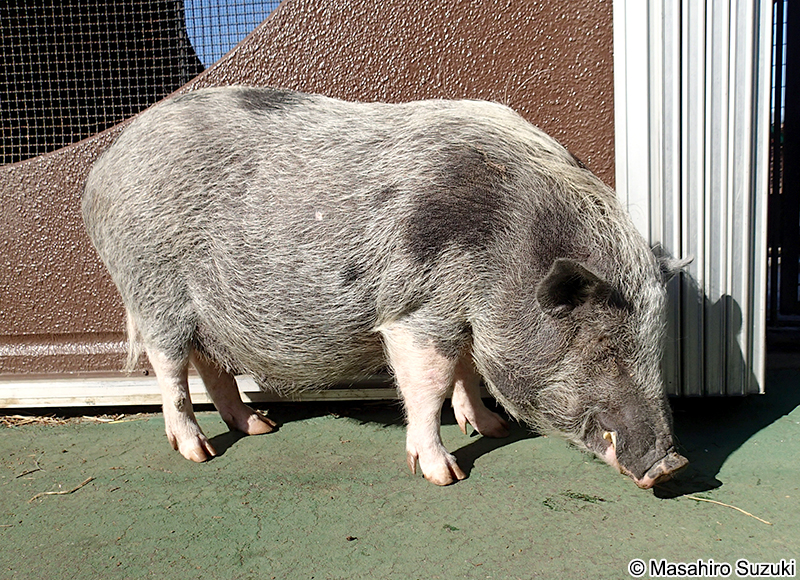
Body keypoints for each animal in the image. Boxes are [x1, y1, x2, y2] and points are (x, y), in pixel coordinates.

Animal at [82, 85, 688, 488]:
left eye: (656, 343)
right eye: (601, 346)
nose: (672, 465)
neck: (511, 242)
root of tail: (103, 167)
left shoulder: (462, 314)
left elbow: (466, 372)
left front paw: (491, 428)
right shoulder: (416, 312)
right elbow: (431, 384)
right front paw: (445, 476)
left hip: (206, 311)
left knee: (211, 366)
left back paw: (260, 427)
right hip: (151, 287)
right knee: (169, 369)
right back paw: (200, 453)